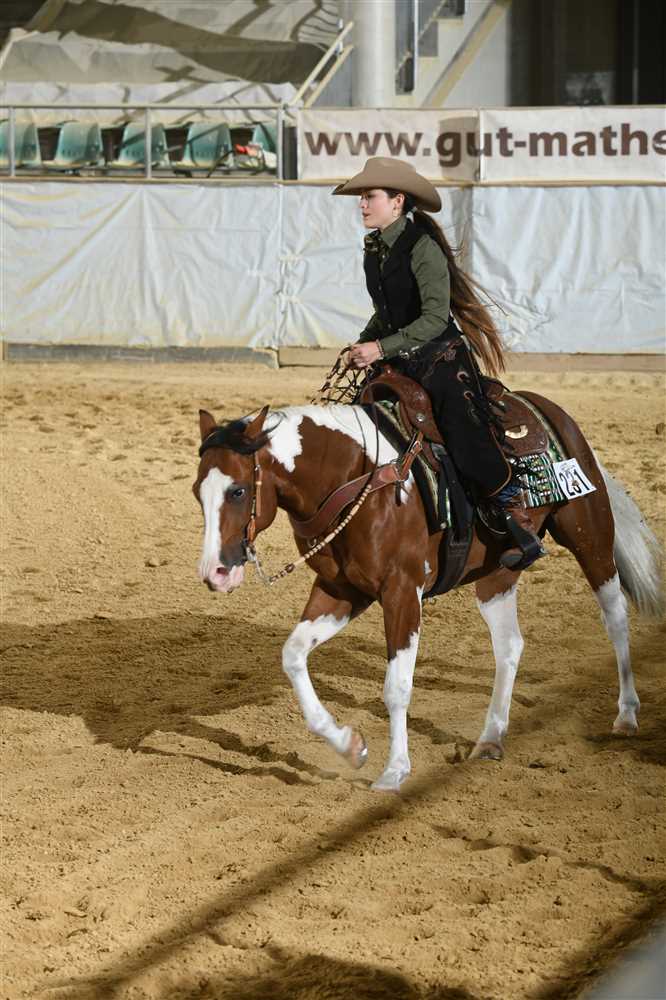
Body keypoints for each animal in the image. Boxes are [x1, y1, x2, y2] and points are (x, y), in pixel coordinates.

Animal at [192, 394, 663, 792]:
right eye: (199, 492)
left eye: (237, 490)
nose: (215, 573)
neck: (356, 479)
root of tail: (555, 413)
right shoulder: (341, 591)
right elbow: (292, 655)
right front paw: (350, 746)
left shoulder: (402, 592)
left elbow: (397, 686)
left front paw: (395, 771)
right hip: (497, 574)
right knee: (510, 646)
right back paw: (490, 737)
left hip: (590, 537)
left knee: (615, 617)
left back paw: (626, 713)